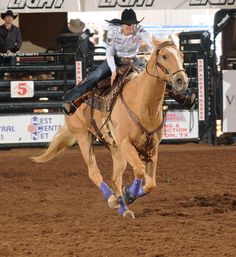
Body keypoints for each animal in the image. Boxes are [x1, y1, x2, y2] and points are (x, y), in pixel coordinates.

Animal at [32, 39, 188, 217]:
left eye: (181, 55)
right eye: (164, 56)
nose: (182, 80)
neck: (142, 103)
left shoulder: (152, 148)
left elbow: (150, 184)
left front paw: (128, 196)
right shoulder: (126, 144)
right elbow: (139, 170)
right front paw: (129, 194)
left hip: (115, 148)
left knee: (115, 178)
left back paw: (123, 208)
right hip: (83, 137)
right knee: (94, 172)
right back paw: (112, 199)